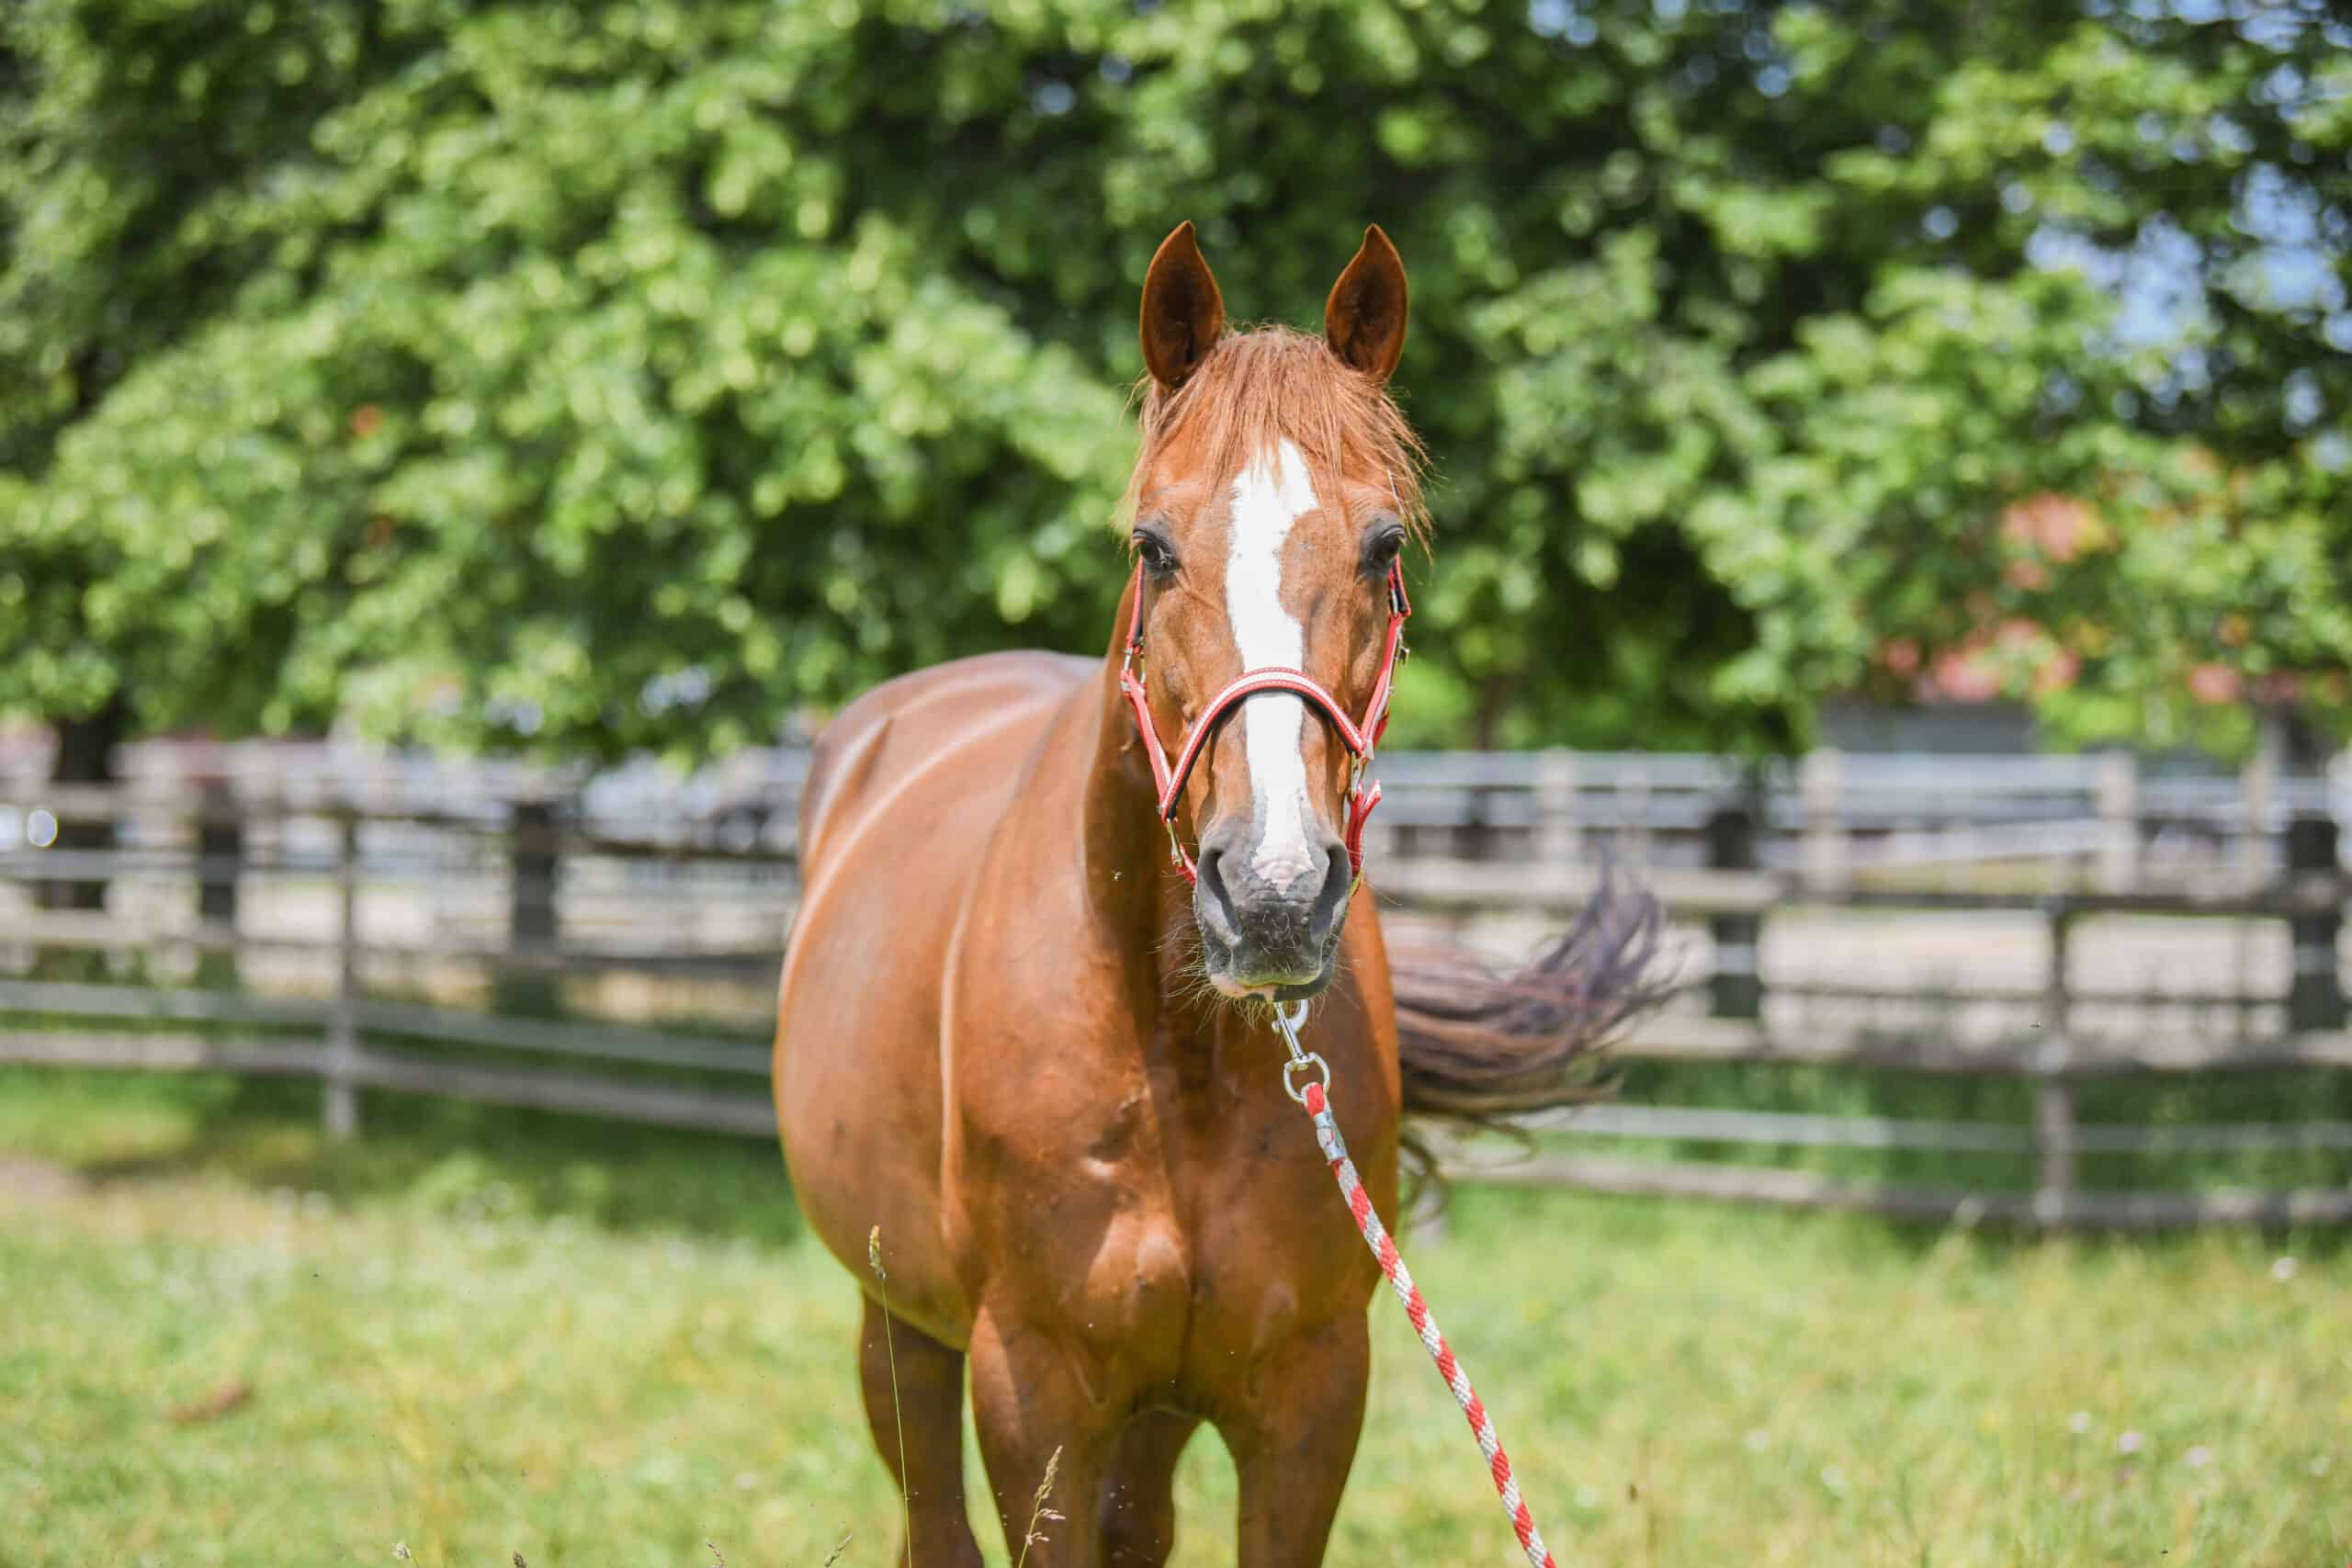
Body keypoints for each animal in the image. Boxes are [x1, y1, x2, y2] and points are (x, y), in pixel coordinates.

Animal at [774, 221, 1660, 1567]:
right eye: (1153, 543)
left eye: (1383, 546)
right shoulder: (1032, 1393)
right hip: (901, 1326)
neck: (1174, 1053)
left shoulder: (1306, 1394)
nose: (1277, 890)